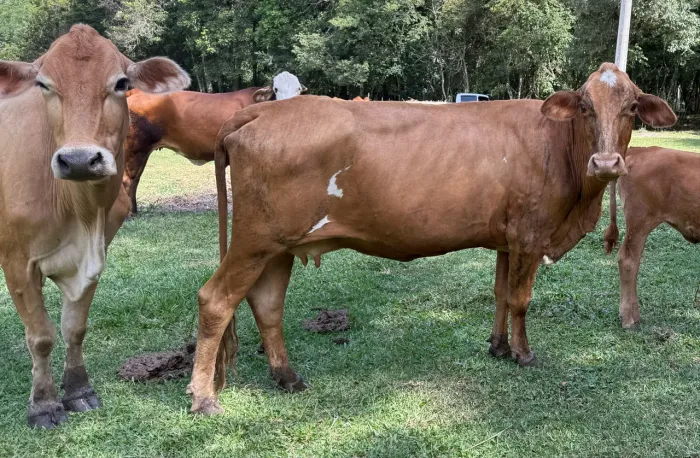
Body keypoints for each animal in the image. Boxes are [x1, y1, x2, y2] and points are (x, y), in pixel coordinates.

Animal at [0, 24, 189, 428]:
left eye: (121, 83)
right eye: (43, 84)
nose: (79, 159)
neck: (81, 213)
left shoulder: (95, 256)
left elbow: (74, 327)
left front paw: (78, 390)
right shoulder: (17, 261)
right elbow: (40, 335)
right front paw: (44, 404)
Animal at [123, 71, 306, 214]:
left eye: (298, 89)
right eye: (276, 89)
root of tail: (135, 92)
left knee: (135, 179)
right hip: (135, 147)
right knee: (128, 179)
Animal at [187, 63, 676, 415]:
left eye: (632, 108)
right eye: (585, 107)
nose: (607, 163)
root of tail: (260, 110)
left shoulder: (506, 239)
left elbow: (500, 293)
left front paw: (498, 347)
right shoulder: (530, 235)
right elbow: (521, 299)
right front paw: (523, 354)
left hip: (278, 246)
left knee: (267, 305)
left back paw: (287, 377)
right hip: (252, 240)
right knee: (216, 300)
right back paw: (204, 398)